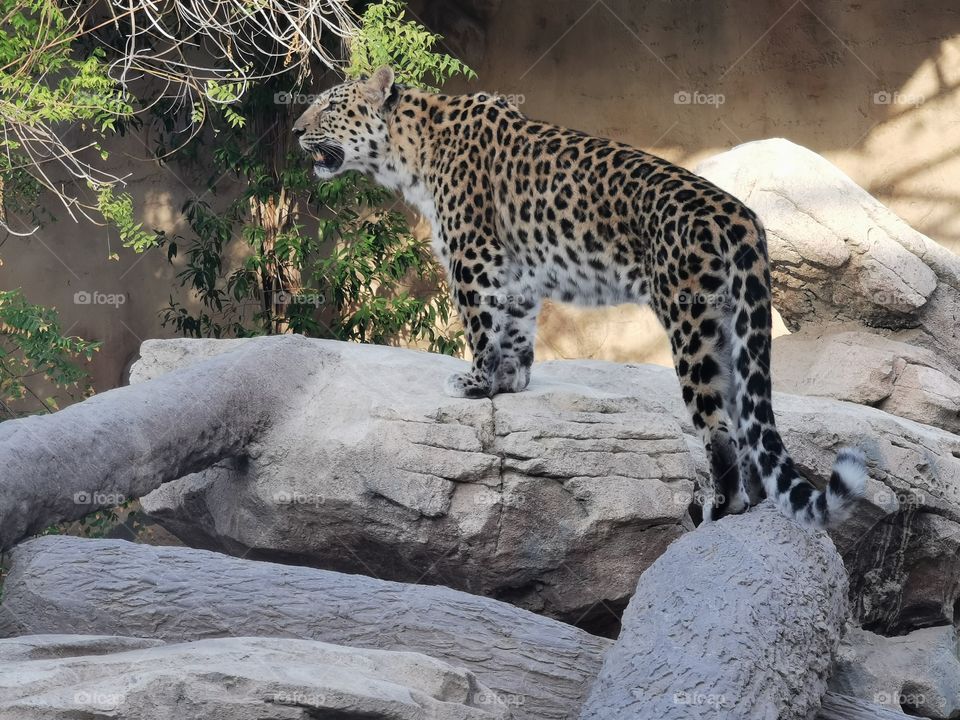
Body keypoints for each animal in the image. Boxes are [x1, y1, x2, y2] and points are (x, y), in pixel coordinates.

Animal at [292, 65, 868, 527]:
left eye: (330, 105)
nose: (296, 130)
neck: (410, 149)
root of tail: (742, 215)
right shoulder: (516, 267)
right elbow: (516, 323)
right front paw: (509, 379)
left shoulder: (473, 254)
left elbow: (480, 321)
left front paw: (475, 382)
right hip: (731, 323)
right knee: (746, 420)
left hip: (690, 323)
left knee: (719, 425)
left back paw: (722, 508)